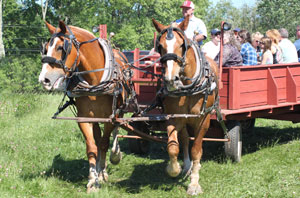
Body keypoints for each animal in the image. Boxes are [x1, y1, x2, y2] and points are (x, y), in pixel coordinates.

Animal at [38, 20, 130, 193]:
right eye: (45, 48)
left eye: (61, 47)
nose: (44, 80)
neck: (95, 81)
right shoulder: (84, 118)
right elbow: (92, 147)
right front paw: (93, 179)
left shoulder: (109, 117)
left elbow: (104, 143)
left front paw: (102, 172)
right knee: (98, 138)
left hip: (119, 110)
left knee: (115, 130)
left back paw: (114, 155)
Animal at [152, 16, 218, 195]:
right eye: (159, 46)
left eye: (182, 45)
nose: (170, 79)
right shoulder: (174, 117)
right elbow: (173, 147)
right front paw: (174, 169)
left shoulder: (203, 120)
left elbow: (197, 150)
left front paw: (194, 183)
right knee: (185, 139)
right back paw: (187, 166)